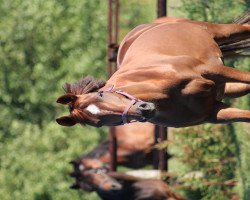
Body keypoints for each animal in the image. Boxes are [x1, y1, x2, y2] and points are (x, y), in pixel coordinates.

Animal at [56, 12, 250, 128]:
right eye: (98, 123)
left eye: (100, 94)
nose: (144, 109)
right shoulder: (214, 112)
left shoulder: (210, 69)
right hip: (229, 88)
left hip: (221, 32)